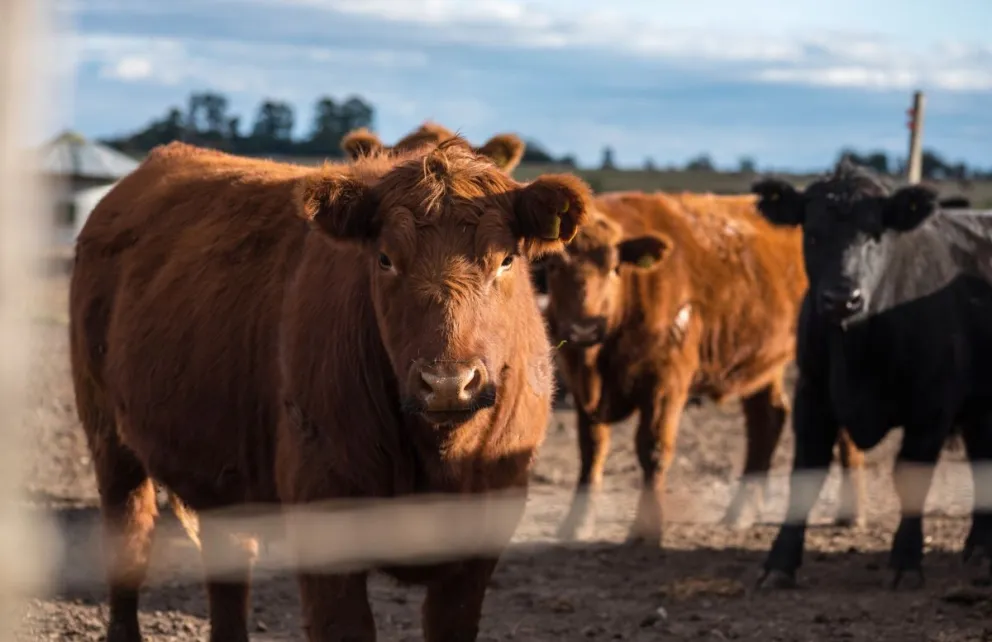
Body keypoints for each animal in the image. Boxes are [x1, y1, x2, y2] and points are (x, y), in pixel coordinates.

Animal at [71, 136, 596, 640]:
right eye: (385, 259)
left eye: (505, 260)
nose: (448, 382)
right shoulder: (323, 513)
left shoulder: (483, 534)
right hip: (109, 439)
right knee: (129, 543)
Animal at [544, 191, 868, 544]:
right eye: (555, 267)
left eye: (615, 267)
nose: (585, 328)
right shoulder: (582, 389)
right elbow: (592, 449)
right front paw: (578, 523)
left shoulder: (665, 382)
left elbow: (653, 448)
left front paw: (647, 529)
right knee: (767, 419)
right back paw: (741, 512)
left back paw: (850, 514)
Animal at [752, 158, 992, 588]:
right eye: (812, 233)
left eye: (876, 234)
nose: (841, 298)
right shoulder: (813, 395)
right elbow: (806, 474)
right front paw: (780, 562)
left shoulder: (935, 404)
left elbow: (912, 474)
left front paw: (907, 561)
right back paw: (979, 545)